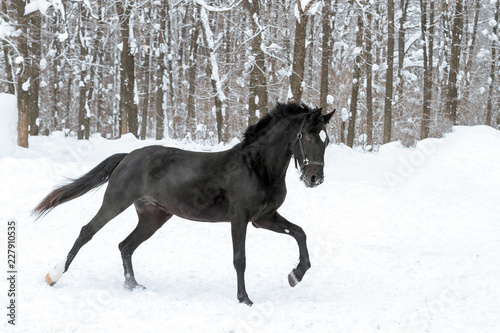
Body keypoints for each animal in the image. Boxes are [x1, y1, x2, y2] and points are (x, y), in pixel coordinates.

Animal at [35, 102, 336, 304]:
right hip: (116, 202)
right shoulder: (240, 218)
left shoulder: (264, 218)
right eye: (309, 136)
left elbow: (300, 233)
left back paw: (134, 286)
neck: (257, 167)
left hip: (153, 217)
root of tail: (128, 156)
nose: (315, 178)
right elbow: (240, 259)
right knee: (87, 232)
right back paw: (53, 276)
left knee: (125, 245)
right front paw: (244, 299)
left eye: (326, 140)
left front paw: (295, 275)